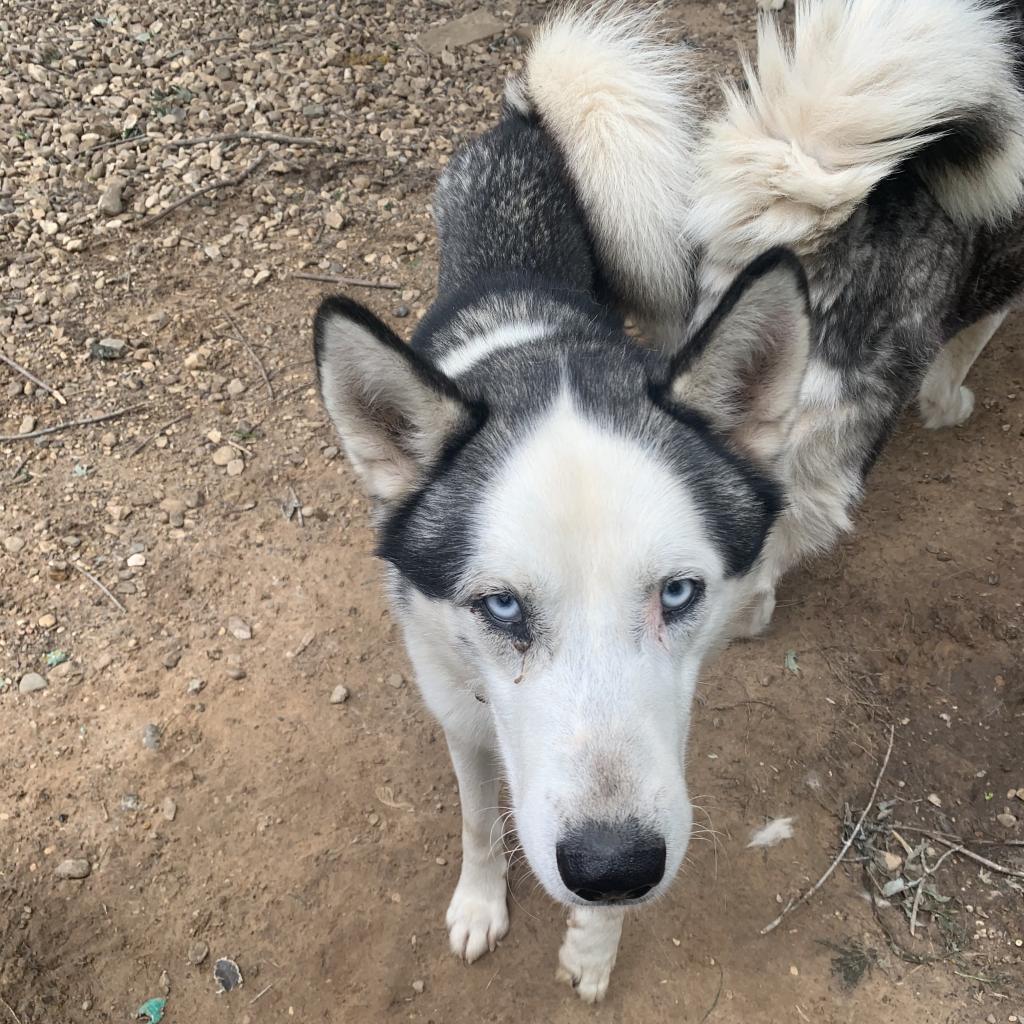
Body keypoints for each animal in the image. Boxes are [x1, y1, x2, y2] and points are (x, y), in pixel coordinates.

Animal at [313, 0, 1024, 1003]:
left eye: (678, 593)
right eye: (500, 607)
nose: (613, 867)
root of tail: (533, 117)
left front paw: (591, 947)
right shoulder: (458, 709)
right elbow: (479, 818)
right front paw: (482, 902)